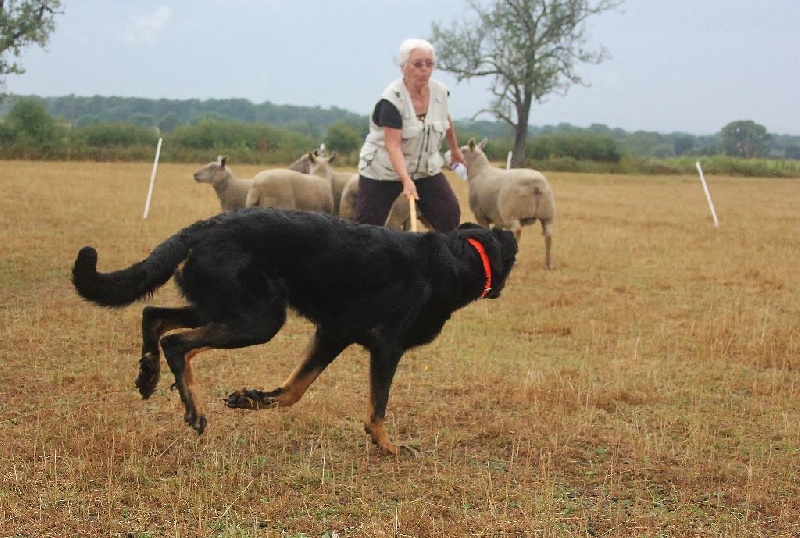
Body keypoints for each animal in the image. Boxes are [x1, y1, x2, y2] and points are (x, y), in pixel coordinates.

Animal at [70, 207, 520, 454]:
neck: (459, 256)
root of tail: (206, 225)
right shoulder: (386, 347)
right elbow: (377, 408)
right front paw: (388, 446)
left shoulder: (332, 334)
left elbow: (293, 391)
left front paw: (250, 398)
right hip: (258, 320)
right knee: (176, 342)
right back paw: (192, 408)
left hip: (227, 308)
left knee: (154, 315)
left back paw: (148, 375)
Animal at [462, 136, 556, 266]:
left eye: (462, 151)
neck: (479, 172)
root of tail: (535, 186)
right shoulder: (498, 219)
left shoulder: (481, 215)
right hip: (547, 213)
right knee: (548, 234)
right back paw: (547, 263)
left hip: (512, 213)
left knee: (517, 232)